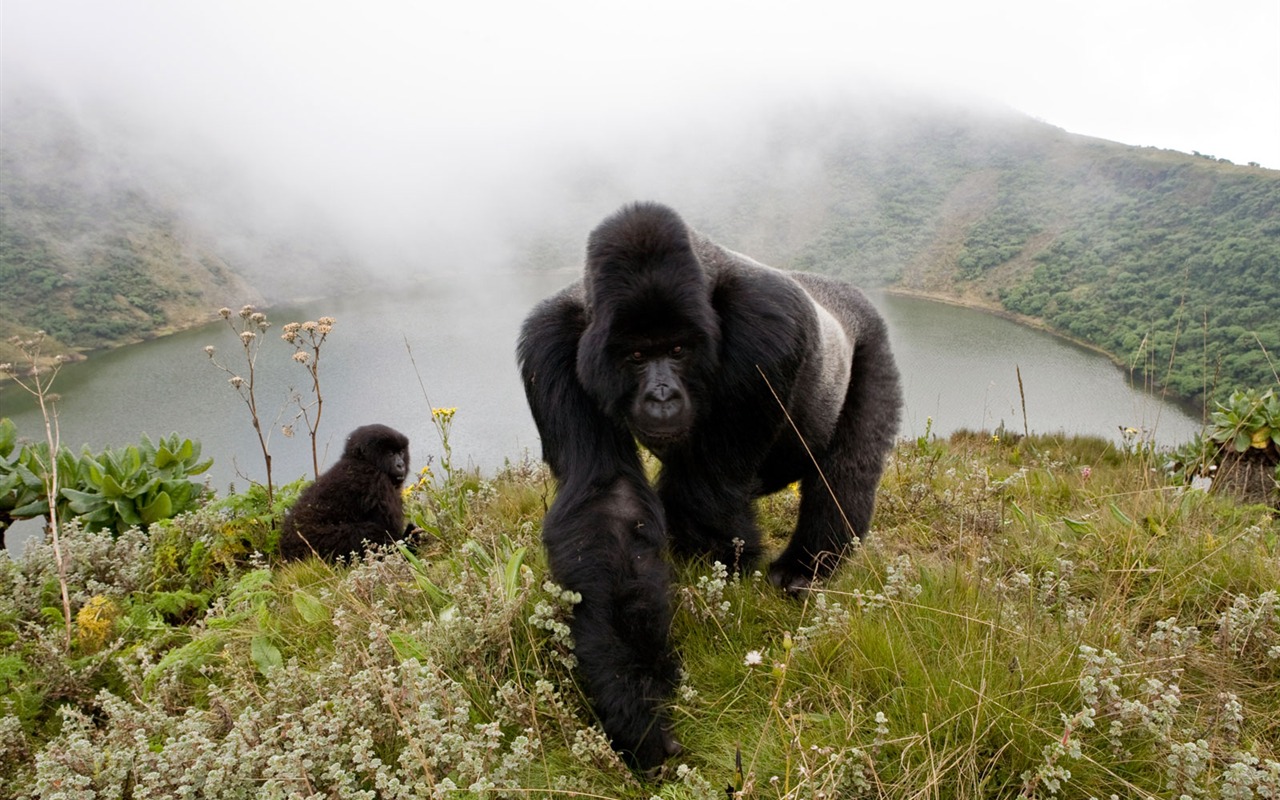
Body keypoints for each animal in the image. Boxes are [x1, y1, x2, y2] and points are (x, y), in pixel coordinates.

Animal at [277, 424, 412, 560]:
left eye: (401, 452)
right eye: (390, 453)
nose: (401, 465)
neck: (361, 460)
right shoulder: (377, 481)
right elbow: (390, 533)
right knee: (366, 532)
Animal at [514, 199, 906, 768]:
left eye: (677, 350)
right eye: (636, 356)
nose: (661, 397)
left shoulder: (767, 325)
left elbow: (704, 497)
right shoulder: (553, 343)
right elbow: (608, 503)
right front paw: (636, 705)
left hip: (872, 337)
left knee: (845, 473)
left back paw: (804, 570)